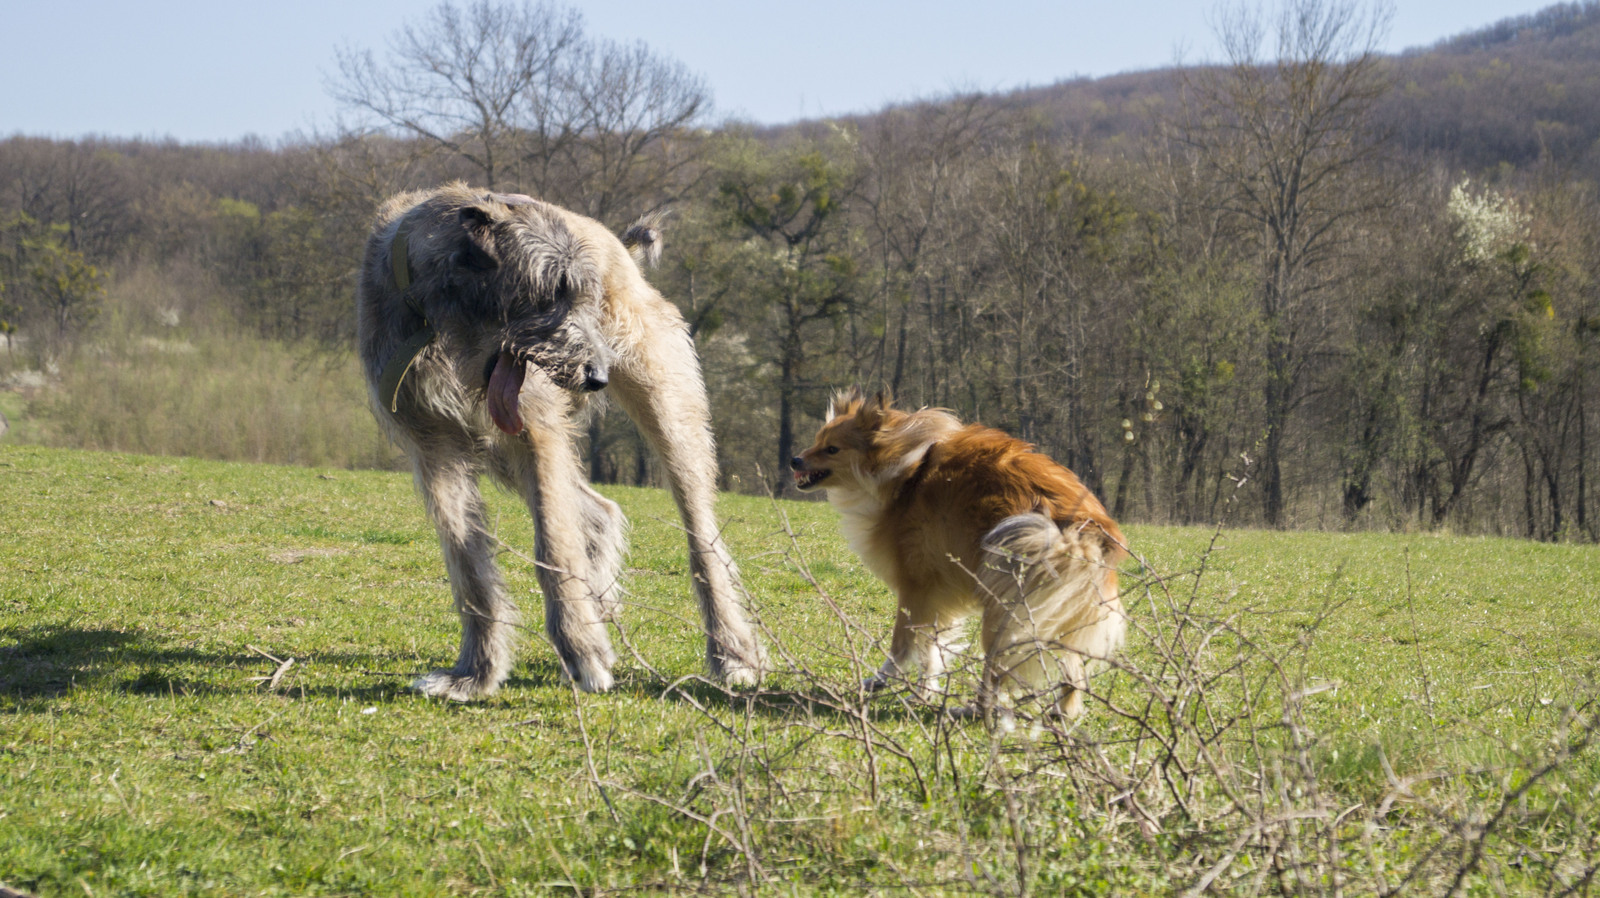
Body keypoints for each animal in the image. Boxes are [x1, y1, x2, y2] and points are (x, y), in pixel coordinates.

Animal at [358, 184, 768, 701]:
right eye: (549, 292)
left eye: (584, 298)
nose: (597, 376)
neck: (439, 320)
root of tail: (621, 247)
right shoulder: (436, 446)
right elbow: (467, 561)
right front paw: (474, 674)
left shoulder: (537, 430)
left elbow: (553, 545)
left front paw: (581, 649)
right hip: (501, 449)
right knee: (598, 510)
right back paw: (599, 601)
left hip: (665, 406)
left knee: (701, 536)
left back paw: (732, 653)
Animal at [787, 388, 1126, 717]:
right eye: (817, 441)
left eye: (832, 449)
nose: (794, 460)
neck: (904, 472)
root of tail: (1085, 528)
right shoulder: (938, 593)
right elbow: (931, 649)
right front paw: (926, 691)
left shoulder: (916, 587)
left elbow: (903, 644)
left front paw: (880, 681)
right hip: (1055, 611)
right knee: (1073, 672)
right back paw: (1061, 715)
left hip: (1005, 608)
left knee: (996, 673)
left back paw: (973, 710)